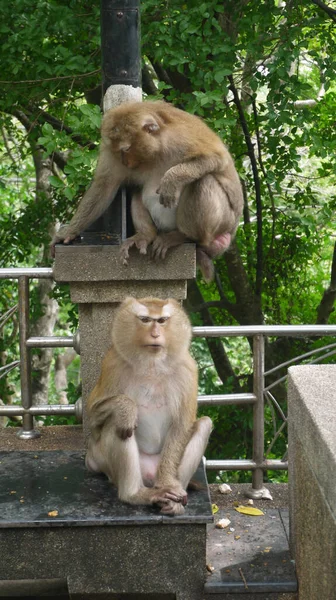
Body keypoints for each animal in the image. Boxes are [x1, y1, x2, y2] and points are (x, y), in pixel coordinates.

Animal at [86, 296, 213, 516]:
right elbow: (93, 418)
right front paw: (126, 407)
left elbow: (182, 425)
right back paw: (135, 494)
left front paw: (169, 484)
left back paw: (172, 496)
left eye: (161, 320)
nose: (155, 334)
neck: (152, 365)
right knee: (117, 424)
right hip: (111, 465)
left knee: (204, 424)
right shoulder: (112, 364)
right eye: (145, 320)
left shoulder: (188, 369)